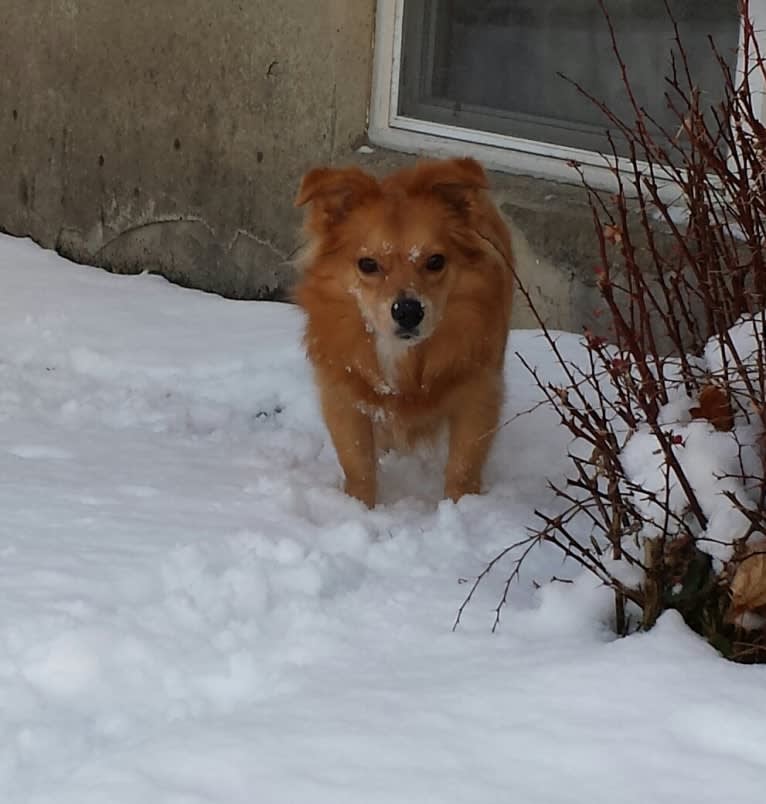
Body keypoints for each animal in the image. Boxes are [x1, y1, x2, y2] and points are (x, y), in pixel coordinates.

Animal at [294, 156, 516, 506]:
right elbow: (357, 462)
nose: (408, 310)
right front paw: (359, 506)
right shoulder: (344, 397)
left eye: (435, 261)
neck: (405, 357)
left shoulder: (479, 393)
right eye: (367, 264)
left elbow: (463, 465)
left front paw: (461, 506)